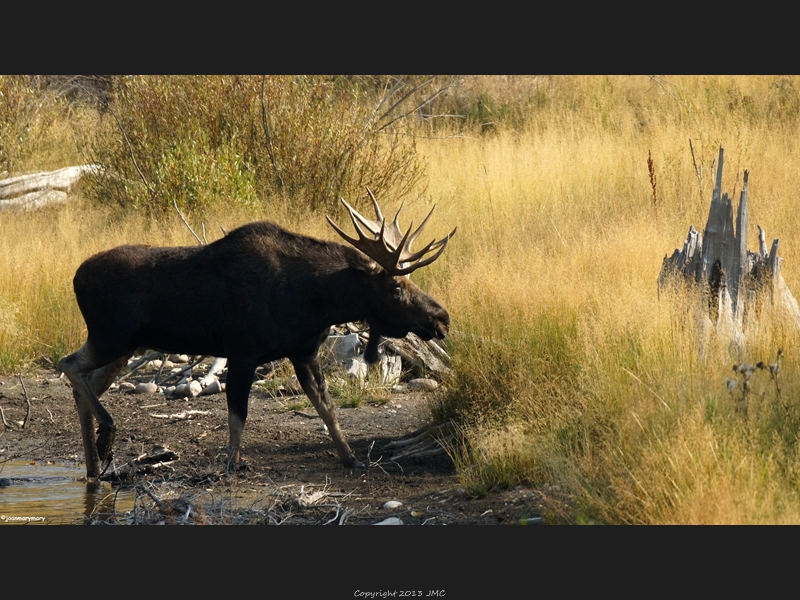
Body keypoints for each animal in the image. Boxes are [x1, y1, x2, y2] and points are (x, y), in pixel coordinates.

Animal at [59, 190, 456, 480]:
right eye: (396, 287)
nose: (442, 318)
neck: (316, 300)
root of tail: (75, 277)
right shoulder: (243, 351)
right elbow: (239, 415)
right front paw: (232, 465)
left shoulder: (304, 352)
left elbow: (327, 408)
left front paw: (351, 458)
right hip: (111, 337)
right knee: (69, 365)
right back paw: (107, 436)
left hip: (123, 347)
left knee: (85, 385)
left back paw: (94, 466)